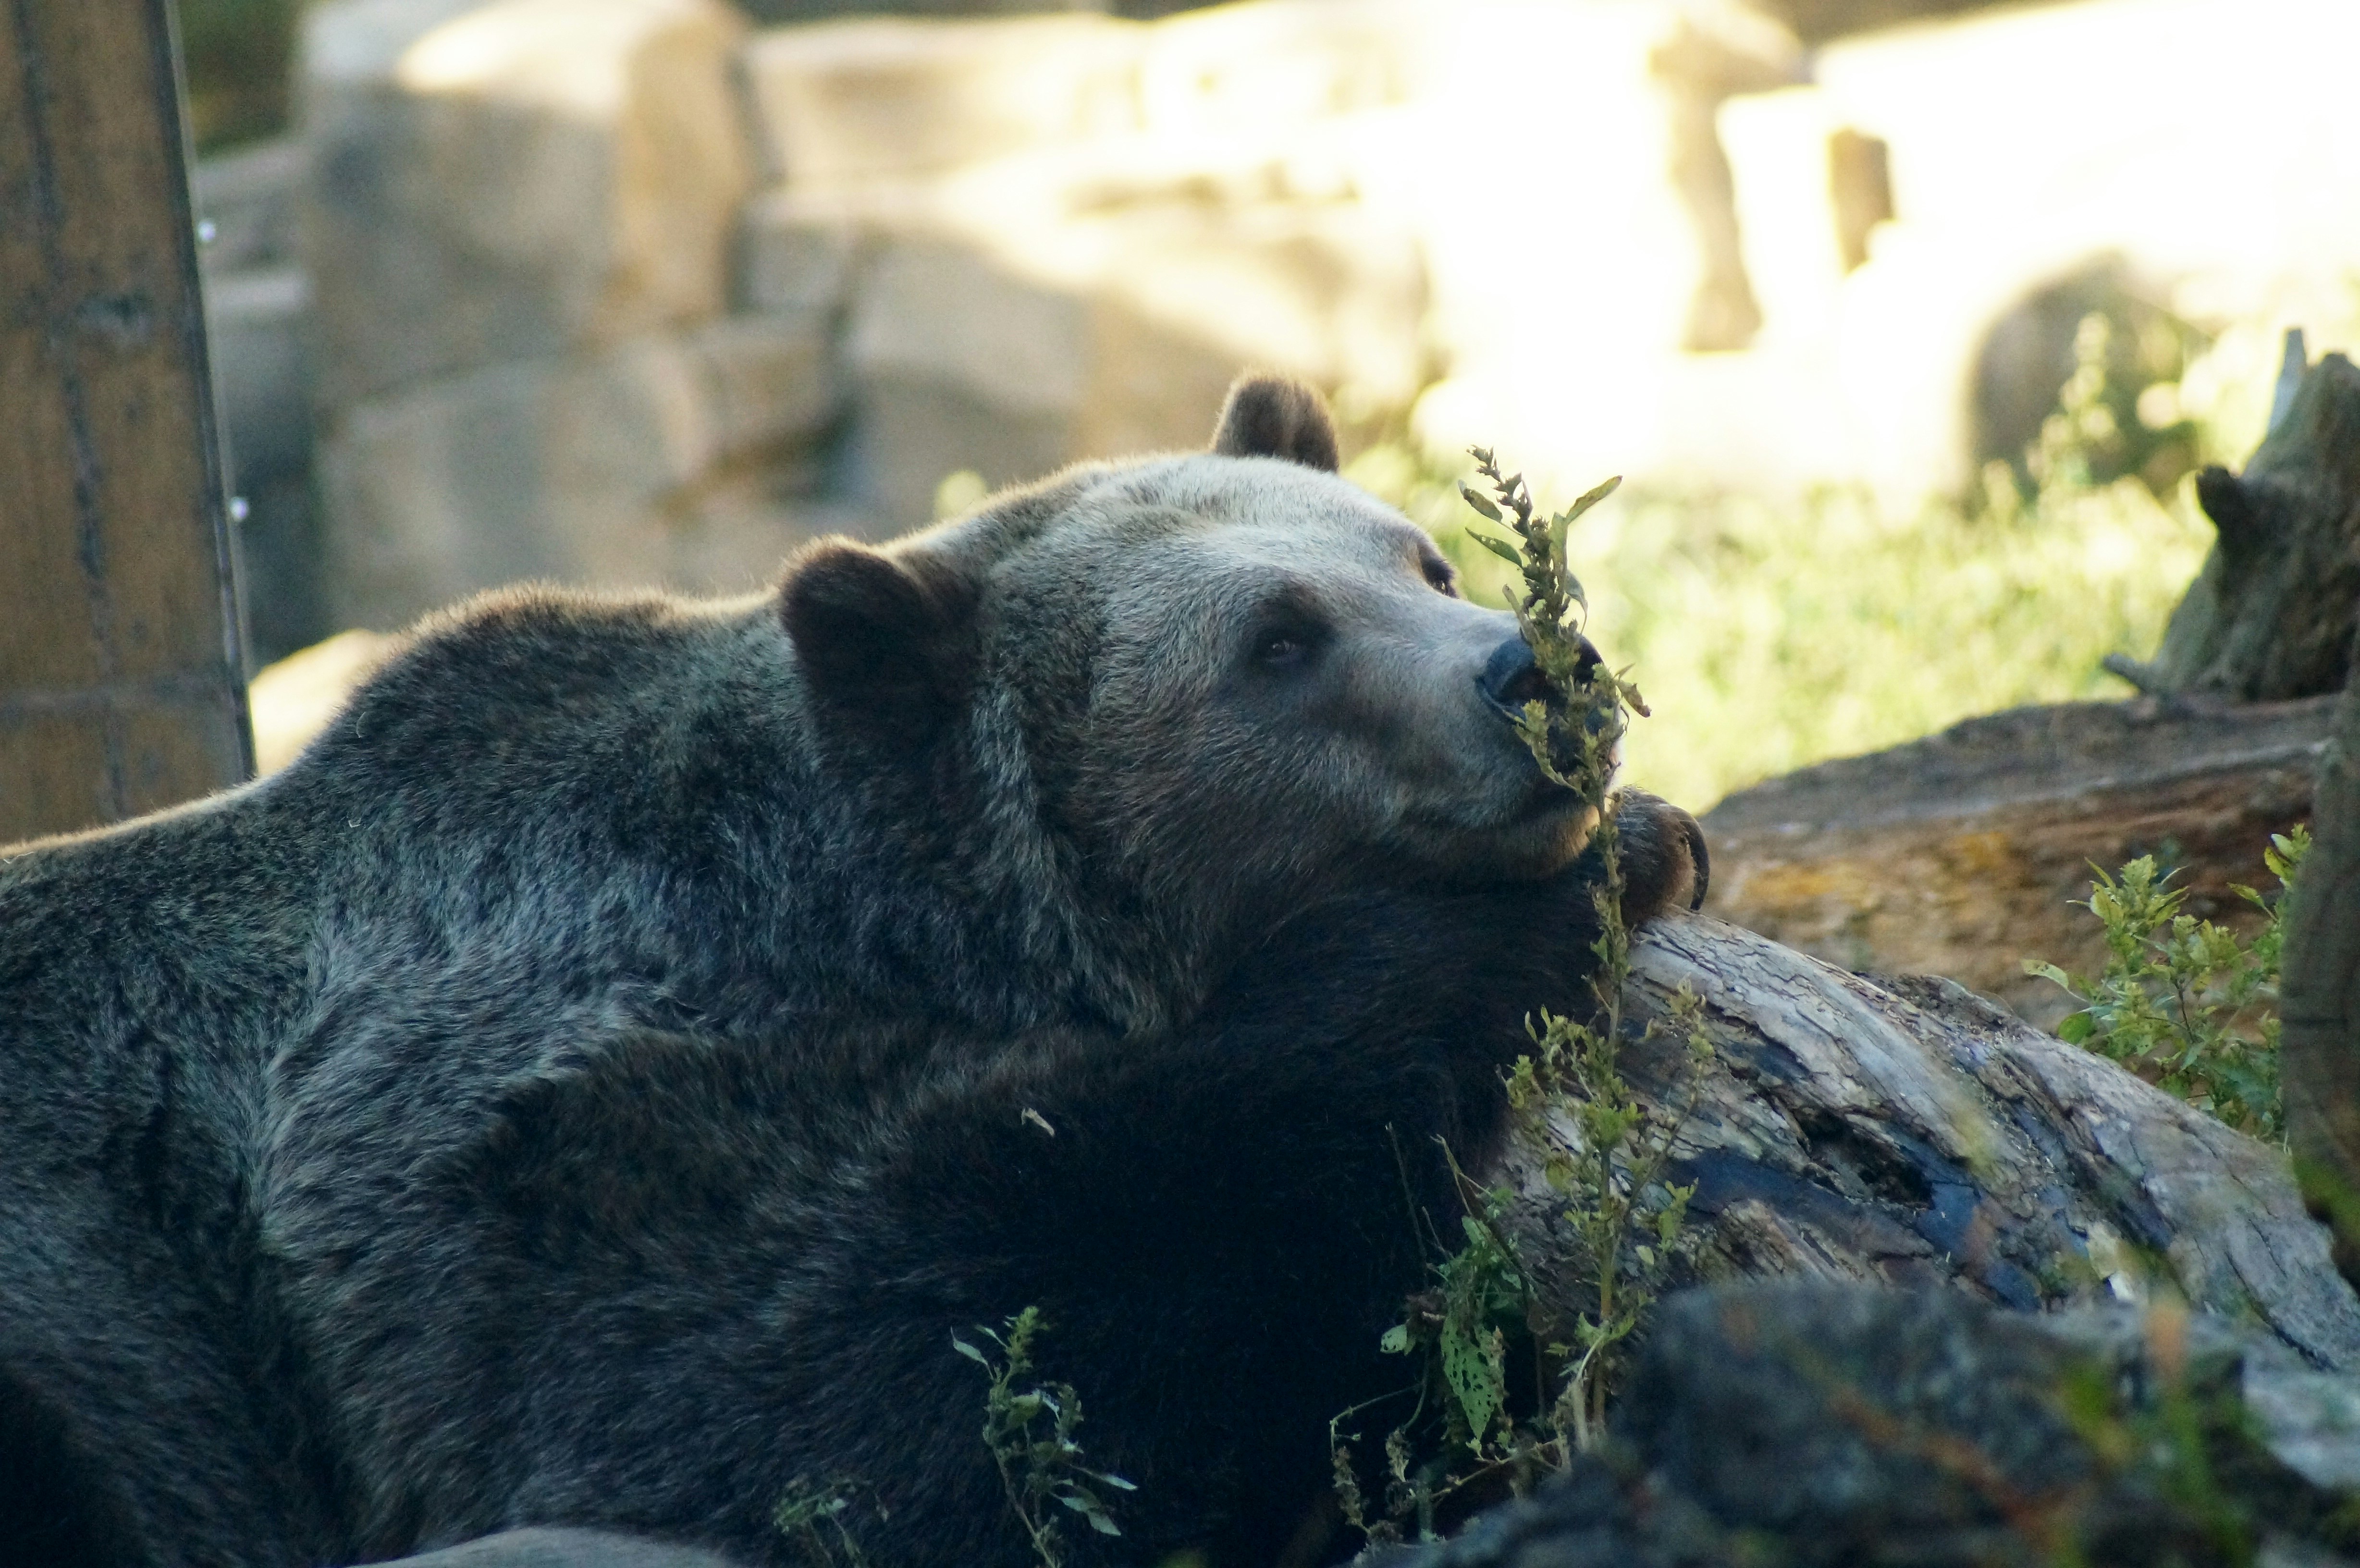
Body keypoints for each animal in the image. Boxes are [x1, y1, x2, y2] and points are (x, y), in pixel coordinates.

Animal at [0, 376, 1704, 1568]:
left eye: (1420, 559)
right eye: (1277, 643)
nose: (1535, 671)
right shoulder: (520, 1169)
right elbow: (878, 1397)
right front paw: (1585, 880)